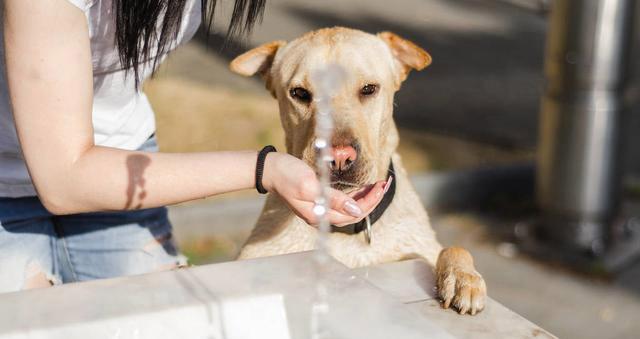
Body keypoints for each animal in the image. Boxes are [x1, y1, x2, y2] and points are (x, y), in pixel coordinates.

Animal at [230, 27, 484, 316]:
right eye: (300, 93)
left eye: (369, 89)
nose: (339, 158)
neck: (346, 232)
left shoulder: (423, 247)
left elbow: (454, 249)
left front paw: (463, 278)